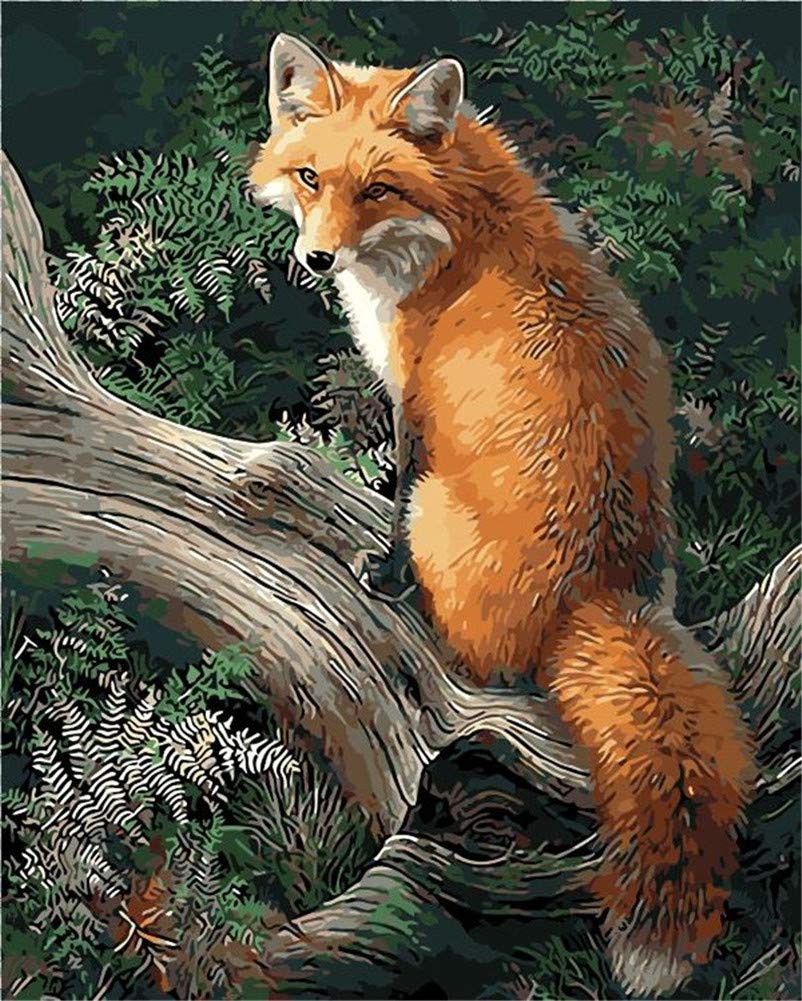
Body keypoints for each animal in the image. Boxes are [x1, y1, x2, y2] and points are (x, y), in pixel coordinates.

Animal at [248, 33, 755, 997]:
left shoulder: (413, 400)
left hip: (443, 515)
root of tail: (599, 596)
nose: (317, 261)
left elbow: (394, 492)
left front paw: (382, 573)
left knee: (473, 651)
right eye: (309, 177)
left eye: (377, 188)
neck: (462, 226)